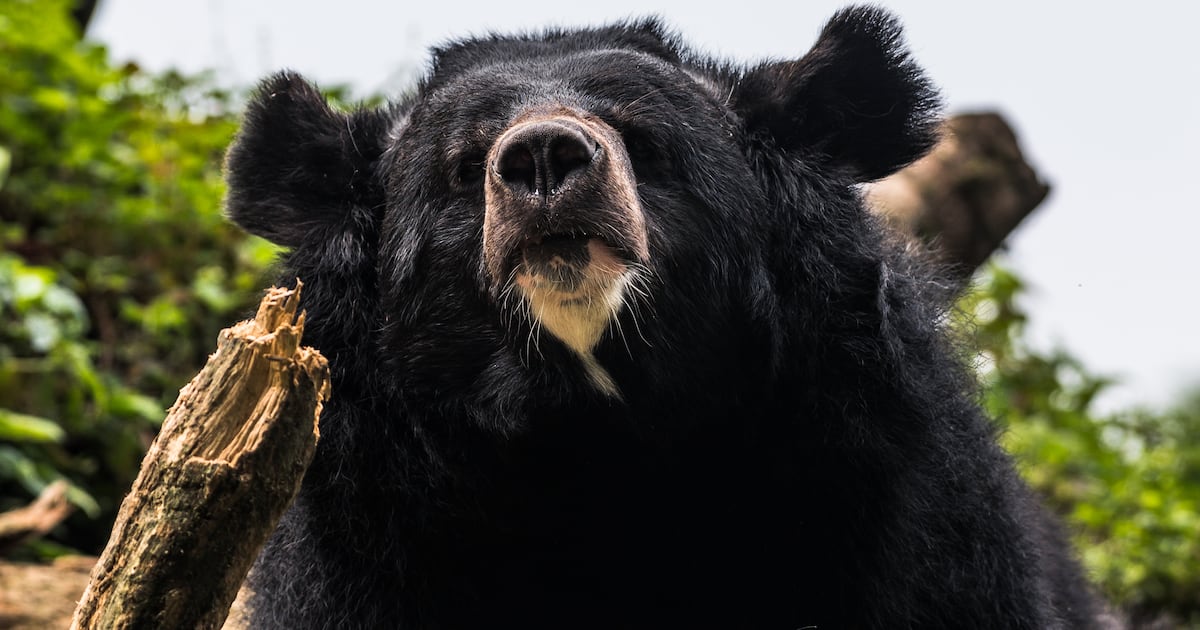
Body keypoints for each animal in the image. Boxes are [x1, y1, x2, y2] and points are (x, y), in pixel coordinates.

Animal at [224, 7, 1104, 629]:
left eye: (643, 140)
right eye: (465, 165)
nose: (542, 158)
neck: (603, 431)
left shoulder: (900, 504)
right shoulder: (371, 543)